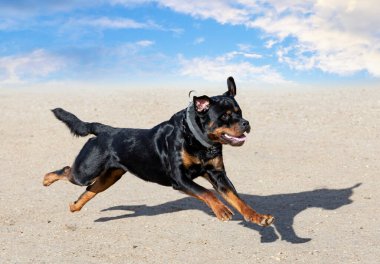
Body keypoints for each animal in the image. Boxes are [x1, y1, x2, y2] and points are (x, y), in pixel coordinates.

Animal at [43, 77, 274, 227]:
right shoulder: (179, 178)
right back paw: (46, 179)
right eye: (224, 117)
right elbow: (206, 192)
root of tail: (105, 129)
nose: (246, 123)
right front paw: (222, 210)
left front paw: (257, 217)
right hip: (86, 170)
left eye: (239, 113)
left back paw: (75, 207)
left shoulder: (218, 175)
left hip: (110, 176)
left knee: (90, 190)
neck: (198, 141)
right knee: (67, 171)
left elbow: (237, 199)